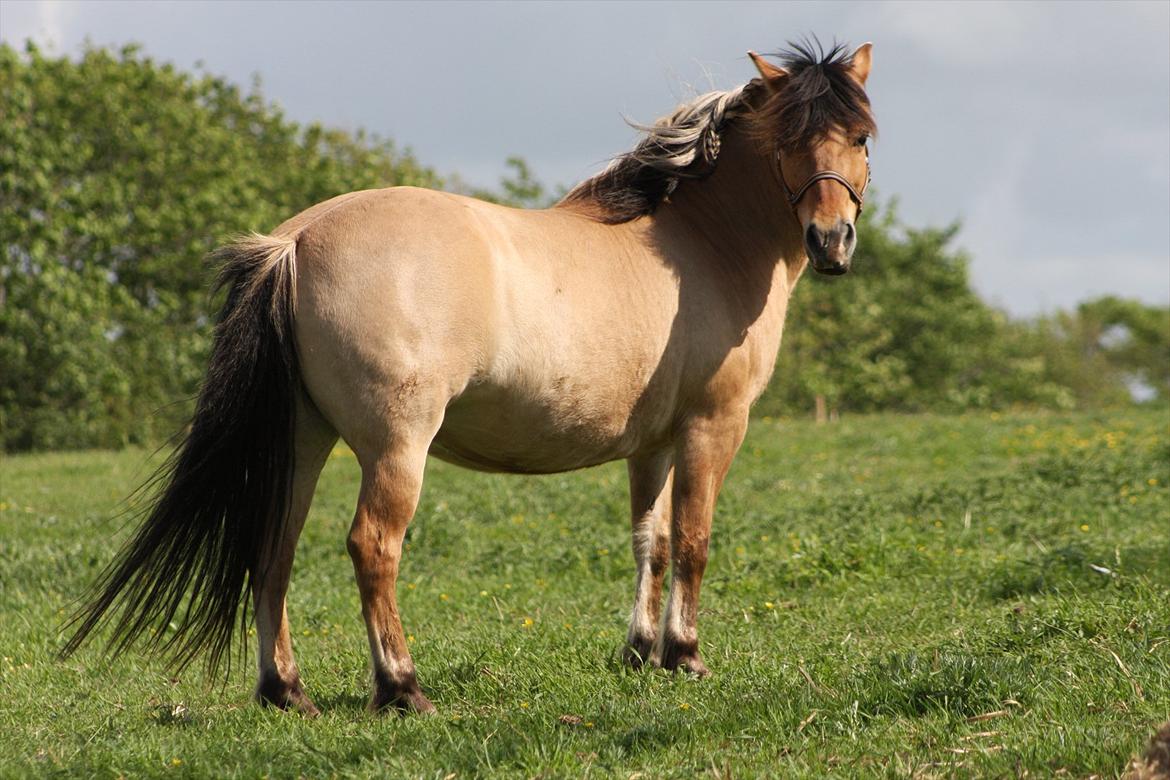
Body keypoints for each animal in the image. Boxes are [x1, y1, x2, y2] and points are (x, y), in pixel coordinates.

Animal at [59, 41, 875, 715]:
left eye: (861, 136)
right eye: (790, 140)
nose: (831, 241)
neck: (699, 244)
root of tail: (295, 243)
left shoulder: (653, 443)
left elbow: (654, 539)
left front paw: (642, 653)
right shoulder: (714, 424)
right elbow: (697, 539)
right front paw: (687, 656)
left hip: (301, 441)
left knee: (273, 550)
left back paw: (287, 692)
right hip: (396, 449)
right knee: (371, 548)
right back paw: (401, 688)